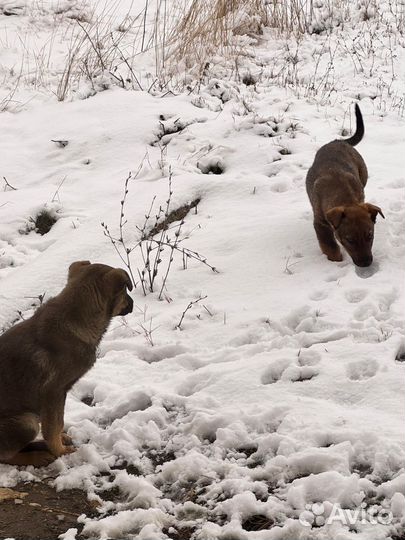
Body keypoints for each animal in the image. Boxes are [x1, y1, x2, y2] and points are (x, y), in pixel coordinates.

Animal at [0, 260, 133, 466]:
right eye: (126, 290)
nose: (133, 304)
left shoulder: (59, 395)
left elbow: (58, 421)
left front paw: (60, 441)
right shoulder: (53, 392)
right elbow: (53, 426)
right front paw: (60, 451)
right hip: (26, 422)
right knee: (5, 456)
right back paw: (36, 456)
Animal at [304, 102, 384, 266]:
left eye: (370, 236)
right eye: (350, 240)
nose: (366, 263)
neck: (343, 195)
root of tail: (338, 141)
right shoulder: (320, 223)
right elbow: (330, 245)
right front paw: (336, 262)